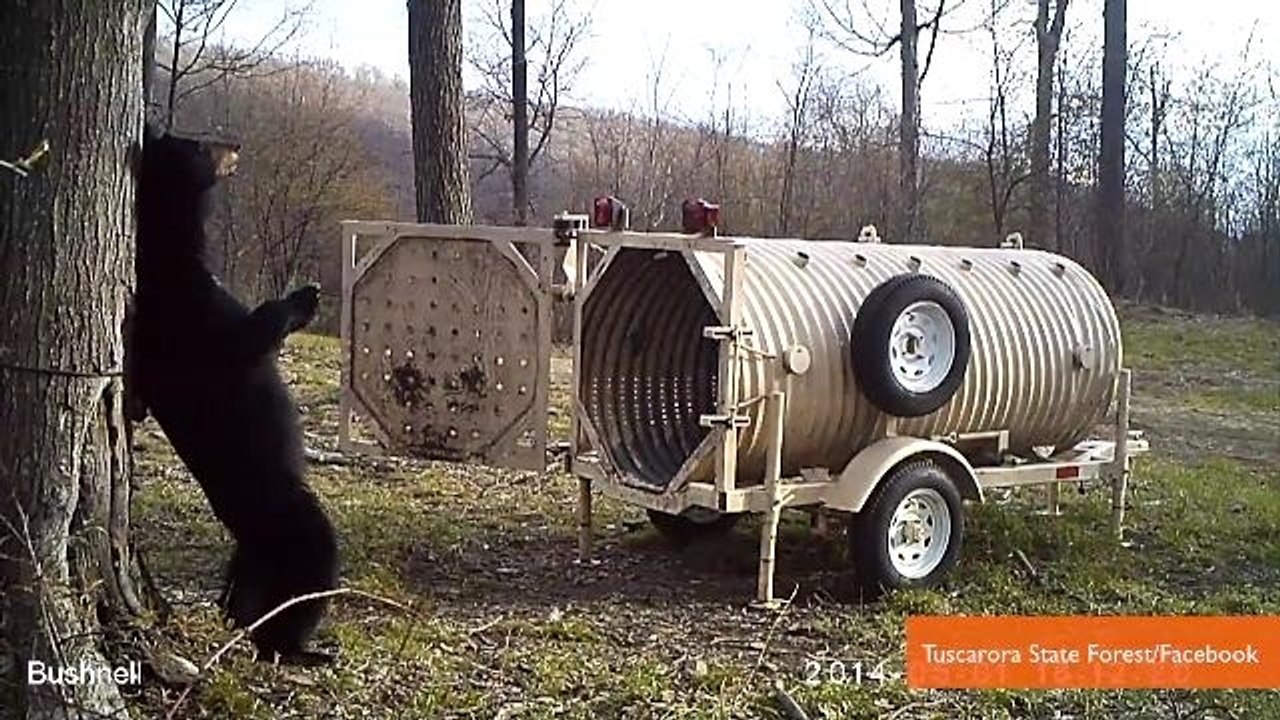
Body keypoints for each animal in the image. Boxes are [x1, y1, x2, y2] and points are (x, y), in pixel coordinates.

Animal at [131, 125, 339, 663]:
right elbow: (253, 332)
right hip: (300, 529)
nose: (237, 144)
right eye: (198, 144)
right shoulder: (199, 325)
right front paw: (303, 298)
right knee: (303, 589)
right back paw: (299, 648)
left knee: (240, 602)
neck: (167, 256)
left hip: (247, 559)